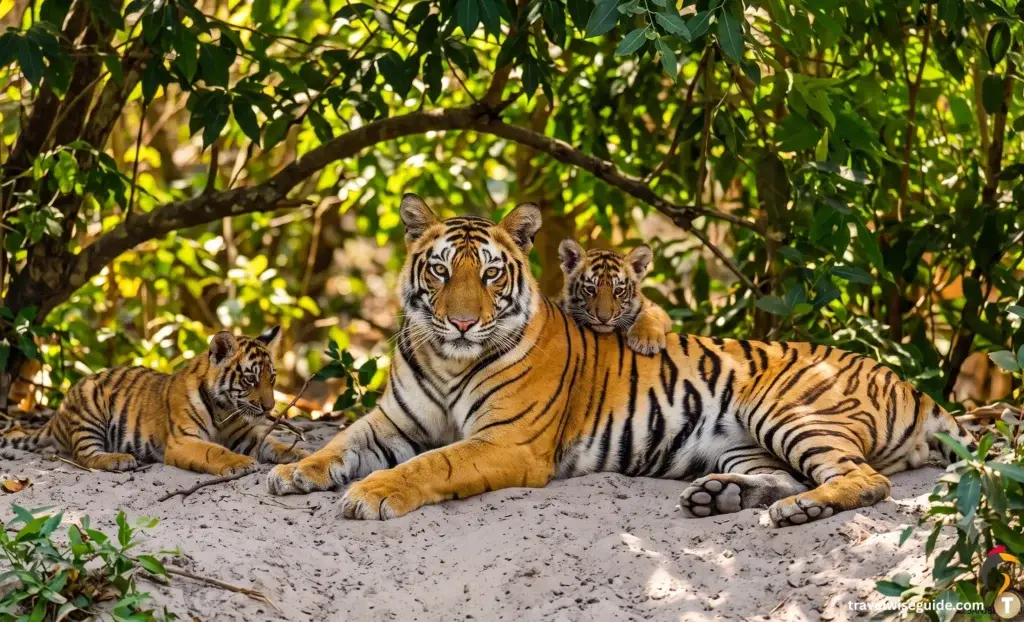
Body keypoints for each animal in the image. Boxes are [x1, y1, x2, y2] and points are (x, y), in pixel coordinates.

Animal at [0, 326, 306, 475]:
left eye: (272, 379)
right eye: (251, 379)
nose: (269, 408)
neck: (225, 409)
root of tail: (56, 416)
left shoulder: (246, 434)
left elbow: (273, 443)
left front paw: (299, 455)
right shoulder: (183, 440)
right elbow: (215, 451)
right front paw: (241, 462)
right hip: (89, 409)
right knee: (84, 455)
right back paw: (119, 459)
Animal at [267, 193, 975, 527]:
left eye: (491, 274)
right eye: (440, 271)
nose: (463, 321)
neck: (447, 358)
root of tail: (910, 385)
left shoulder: (507, 443)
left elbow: (431, 464)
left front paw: (373, 493)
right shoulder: (394, 421)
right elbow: (342, 443)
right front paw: (296, 471)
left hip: (792, 411)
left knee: (865, 480)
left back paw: (798, 513)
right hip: (745, 444)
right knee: (789, 477)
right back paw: (719, 497)